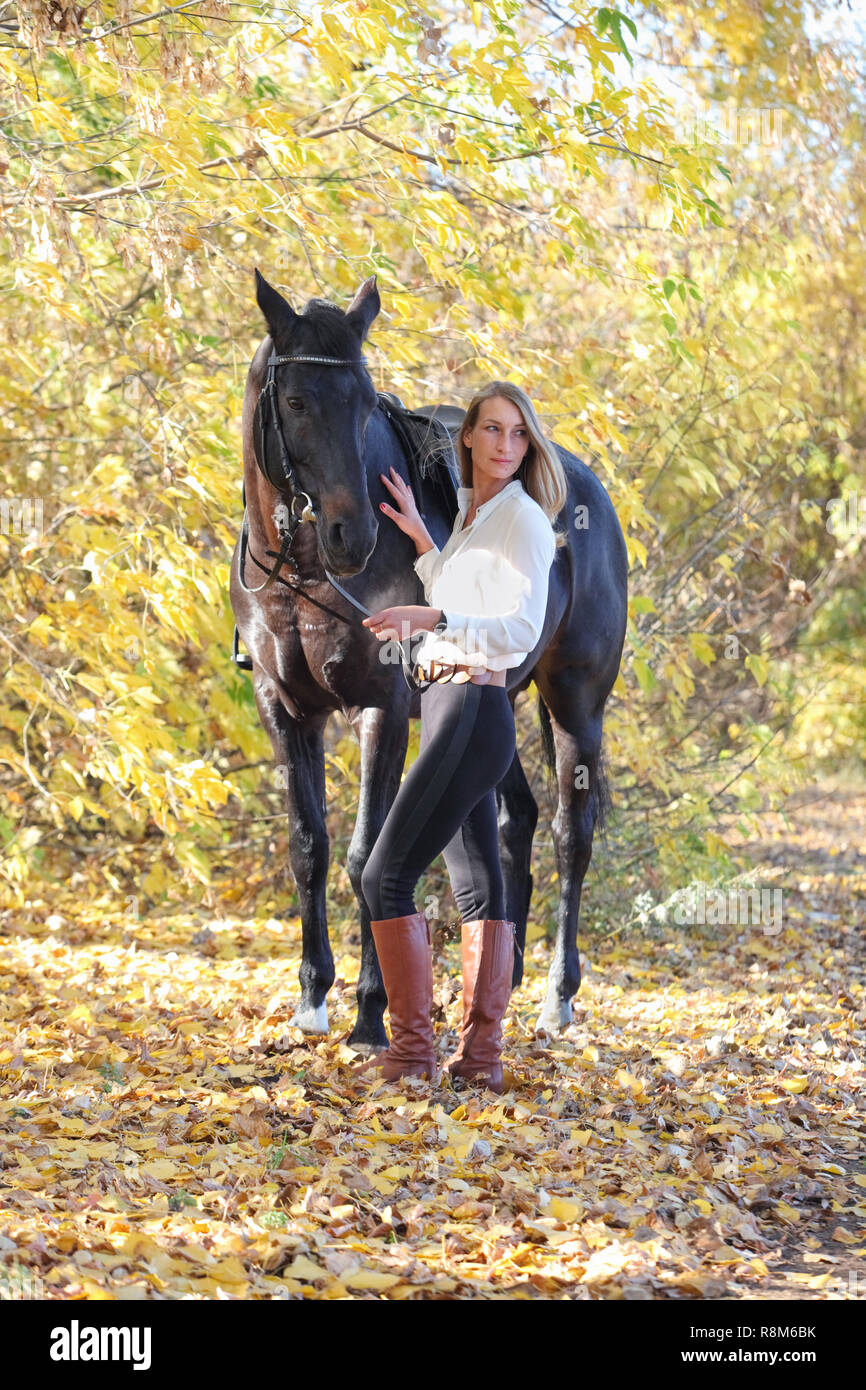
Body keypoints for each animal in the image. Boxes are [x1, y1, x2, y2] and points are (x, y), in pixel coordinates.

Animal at [226, 273, 625, 1050]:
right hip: (499, 697)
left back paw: (558, 995)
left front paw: (370, 1012)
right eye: (297, 402)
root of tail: (588, 491)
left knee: (573, 835)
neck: (304, 574)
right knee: (515, 821)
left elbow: (364, 853)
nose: (352, 535)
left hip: (575, 704)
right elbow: (309, 847)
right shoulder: (284, 710)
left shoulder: (380, 706)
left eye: (363, 402)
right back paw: (505, 973)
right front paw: (312, 998)